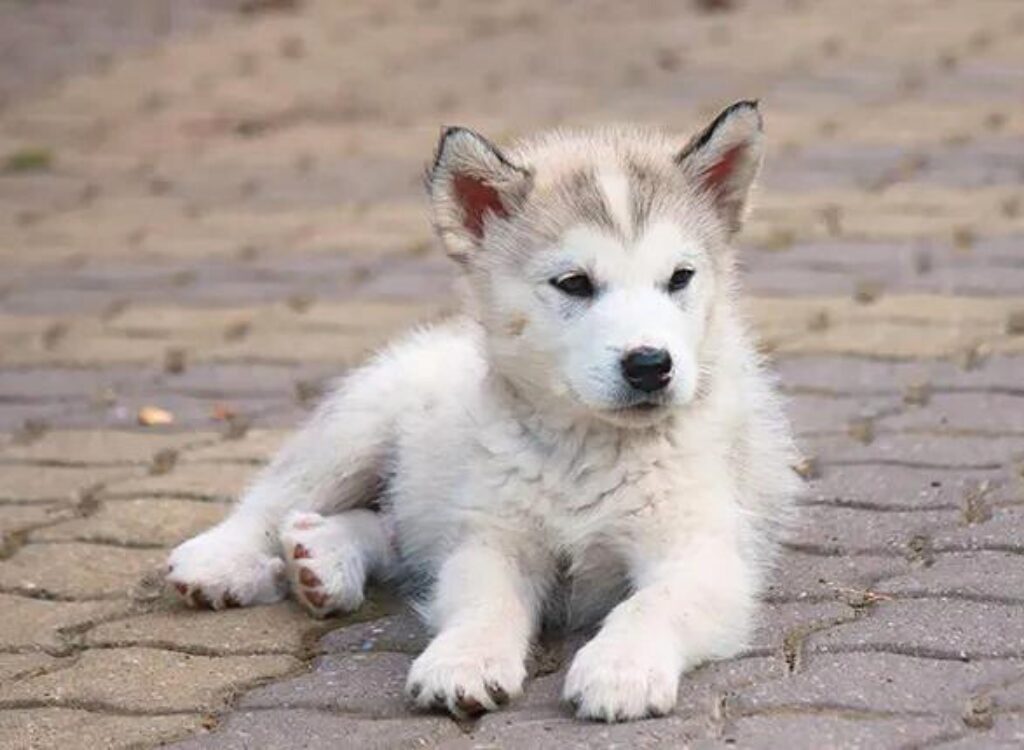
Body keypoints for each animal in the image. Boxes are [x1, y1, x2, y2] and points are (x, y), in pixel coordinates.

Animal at [165, 102, 798, 725]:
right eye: (575, 283)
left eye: (680, 278)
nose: (650, 365)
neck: (587, 448)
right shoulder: (494, 538)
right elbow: (484, 602)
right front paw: (464, 660)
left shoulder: (700, 550)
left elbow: (651, 604)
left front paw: (623, 667)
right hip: (361, 423)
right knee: (277, 497)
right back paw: (224, 562)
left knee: (393, 530)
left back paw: (321, 558)